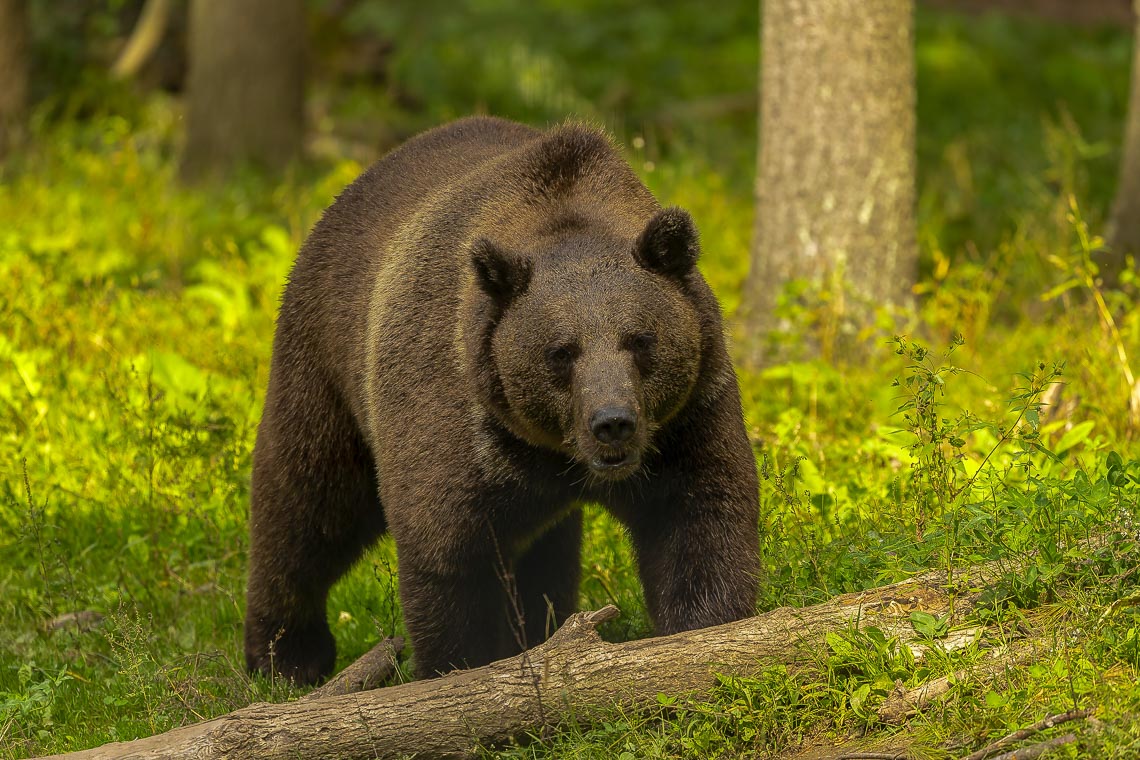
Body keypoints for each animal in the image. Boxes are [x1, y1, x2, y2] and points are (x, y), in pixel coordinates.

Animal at [245, 116, 761, 688]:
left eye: (640, 340)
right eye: (561, 352)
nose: (613, 424)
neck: (554, 453)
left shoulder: (686, 417)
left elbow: (697, 520)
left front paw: (704, 633)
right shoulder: (454, 419)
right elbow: (448, 553)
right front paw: (461, 667)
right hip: (325, 361)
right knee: (307, 501)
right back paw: (285, 655)